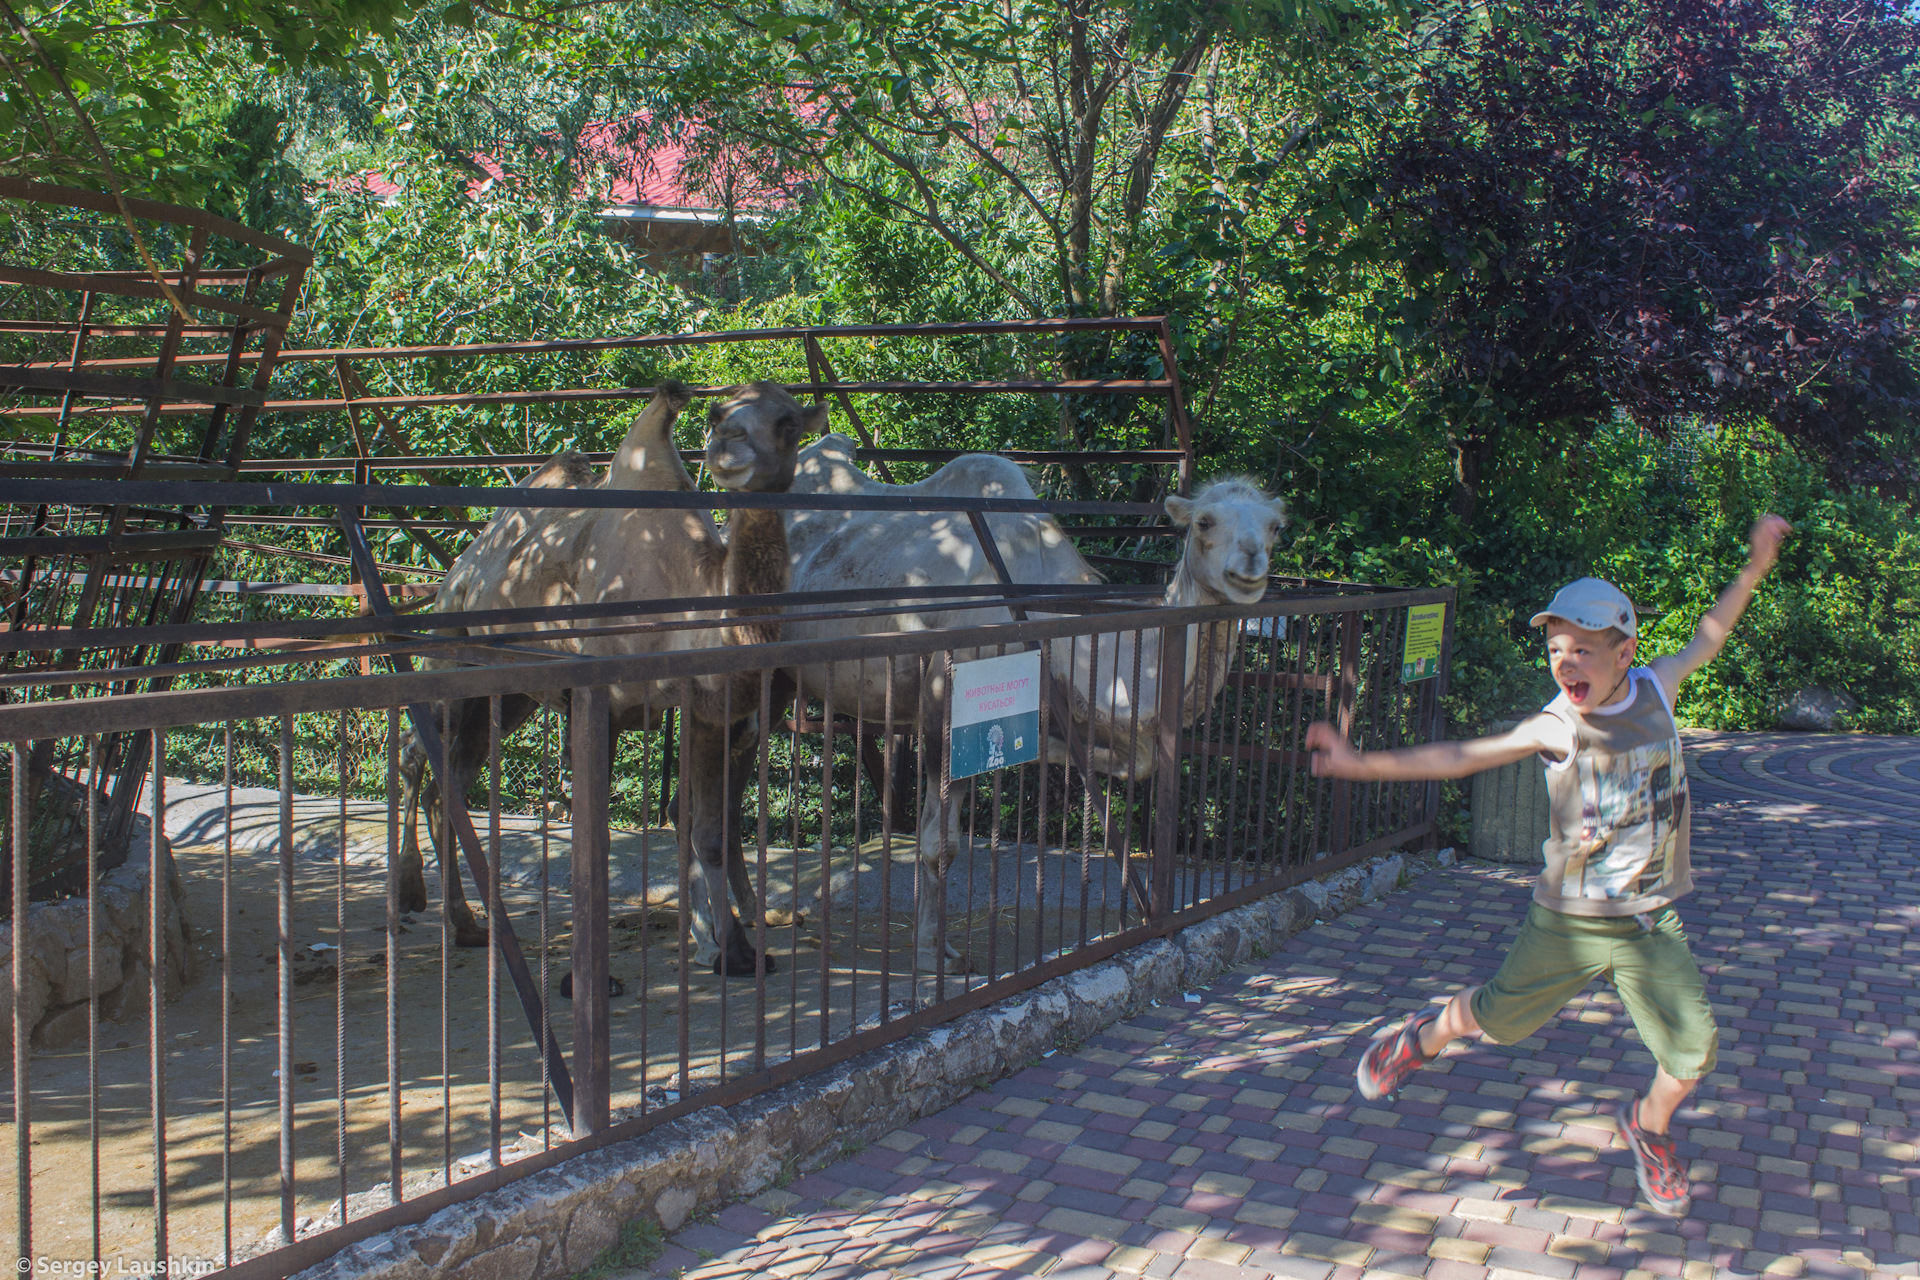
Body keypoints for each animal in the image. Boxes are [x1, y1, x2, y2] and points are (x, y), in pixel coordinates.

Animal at [779, 435, 1290, 974]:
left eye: (1276, 527)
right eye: (1204, 522)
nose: (1250, 566)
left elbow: (1134, 759)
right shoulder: (944, 704)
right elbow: (937, 843)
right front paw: (930, 954)